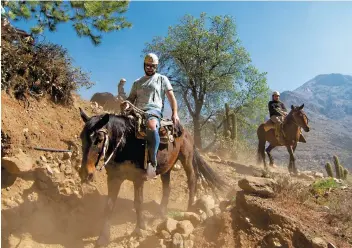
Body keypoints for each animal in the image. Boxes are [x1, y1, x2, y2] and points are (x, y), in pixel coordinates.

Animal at [78, 108, 224, 246]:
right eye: (81, 137)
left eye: (99, 140)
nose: (86, 173)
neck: (124, 144)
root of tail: (186, 132)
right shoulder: (114, 178)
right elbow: (109, 206)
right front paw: (103, 237)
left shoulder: (138, 179)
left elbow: (138, 203)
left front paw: (140, 228)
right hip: (167, 167)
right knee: (167, 187)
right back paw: (162, 212)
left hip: (186, 158)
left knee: (192, 180)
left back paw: (189, 208)